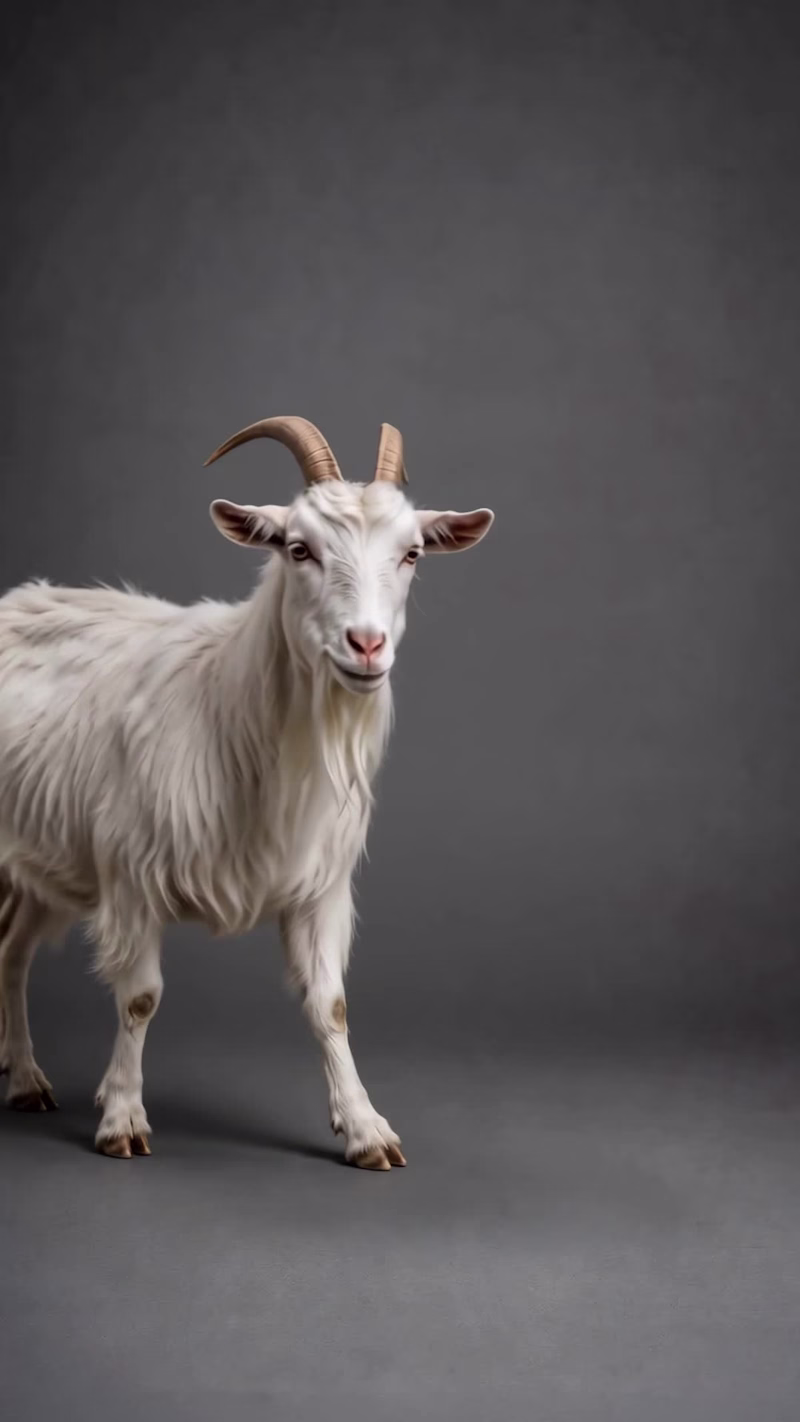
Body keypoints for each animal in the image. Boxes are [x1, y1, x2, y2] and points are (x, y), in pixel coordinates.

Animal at [0, 417, 493, 1169]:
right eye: (299, 549)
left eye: (411, 554)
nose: (367, 645)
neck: (229, 708)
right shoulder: (131, 876)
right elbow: (140, 999)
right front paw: (122, 1118)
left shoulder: (319, 888)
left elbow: (331, 1005)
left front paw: (365, 1127)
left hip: (42, 864)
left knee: (13, 951)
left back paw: (25, 1078)